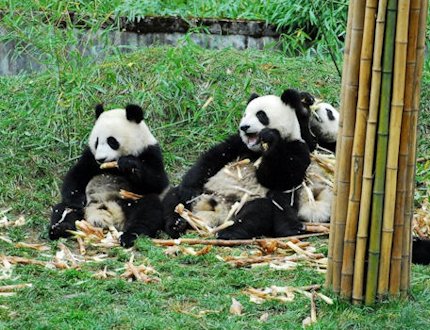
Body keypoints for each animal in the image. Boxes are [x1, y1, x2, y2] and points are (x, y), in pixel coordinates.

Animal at [49, 104, 169, 246]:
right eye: (96, 142)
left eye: (112, 141)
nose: (101, 159)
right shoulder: (90, 157)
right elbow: (76, 175)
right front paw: (77, 199)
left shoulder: (150, 152)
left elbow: (158, 181)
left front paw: (128, 164)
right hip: (84, 209)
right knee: (63, 209)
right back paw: (60, 229)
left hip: (130, 202)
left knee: (148, 210)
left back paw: (129, 236)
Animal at [163, 89, 330, 238]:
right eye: (245, 114)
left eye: (260, 115)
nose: (244, 127)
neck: (256, 150)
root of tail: (219, 210)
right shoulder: (237, 144)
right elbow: (210, 160)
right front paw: (190, 190)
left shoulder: (297, 147)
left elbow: (280, 177)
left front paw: (271, 138)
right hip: (205, 192)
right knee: (173, 198)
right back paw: (176, 224)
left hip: (246, 201)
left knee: (257, 212)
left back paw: (230, 232)